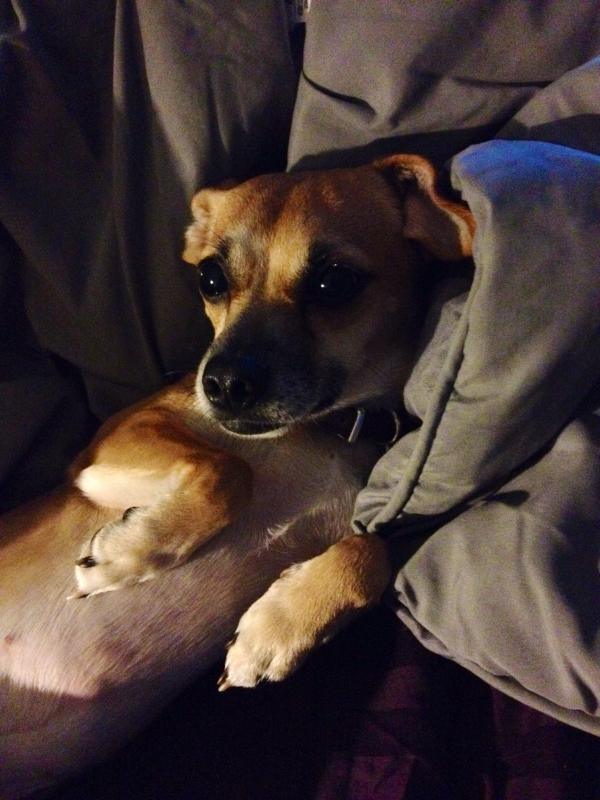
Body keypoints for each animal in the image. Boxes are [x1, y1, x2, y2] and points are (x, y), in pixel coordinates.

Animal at [0, 155, 473, 797]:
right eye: (210, 278)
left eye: (334, 282)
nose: (221, 383)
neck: (324, 432)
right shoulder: (112, 442)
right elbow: (229, 468)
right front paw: (129, 551)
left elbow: (373, 549)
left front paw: (279, 627)